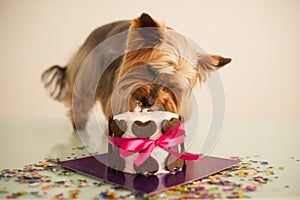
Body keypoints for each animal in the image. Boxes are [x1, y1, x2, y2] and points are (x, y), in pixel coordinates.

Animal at [41, 13, 231, 129]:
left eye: (173, 85)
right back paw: (78, 123)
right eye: (150, 69)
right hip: (89, 69)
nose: (148, 102)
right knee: (81, 98)